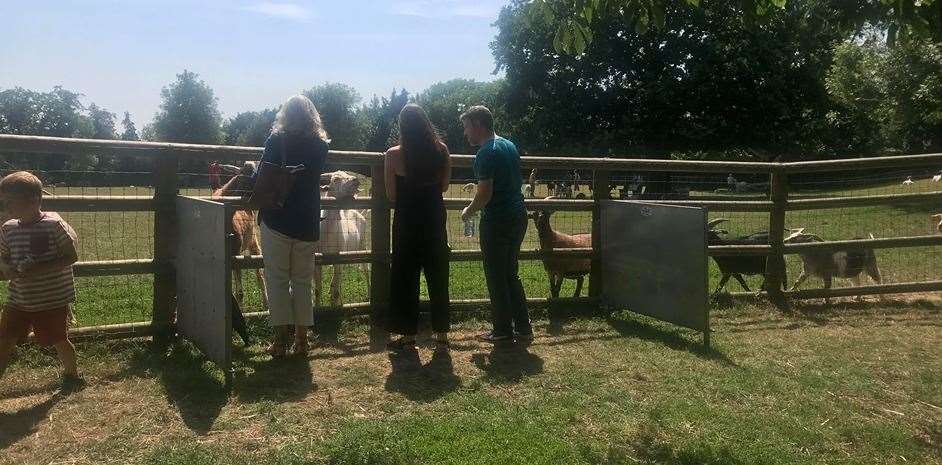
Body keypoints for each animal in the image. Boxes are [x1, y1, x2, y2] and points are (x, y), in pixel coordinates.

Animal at [215, 163, 270, 308]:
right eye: (247, 173)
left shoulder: (236, 253)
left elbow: (239, 292)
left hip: (252, 240)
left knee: (259, 272)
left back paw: (266, 304)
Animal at [318, 170, 368, 308]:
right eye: (335, 179)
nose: (355, 180)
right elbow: (318, 290)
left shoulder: (338, 260)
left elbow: (335, 292)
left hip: (362, 246)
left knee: (366, 270)